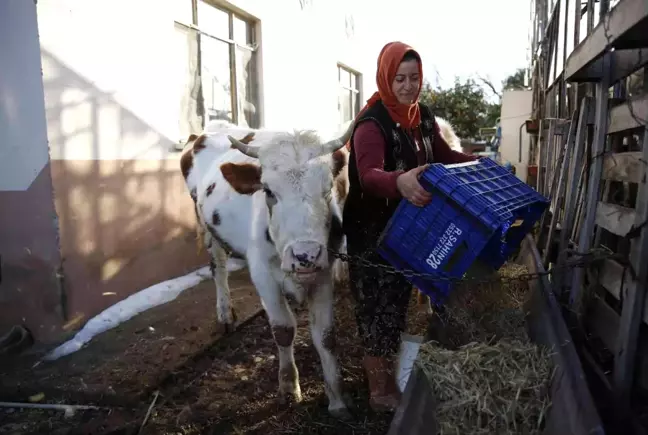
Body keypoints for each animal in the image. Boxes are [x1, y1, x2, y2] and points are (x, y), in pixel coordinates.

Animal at [180, 121, 354, 420]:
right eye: (269, 191)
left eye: (328, 188)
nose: (305, 255)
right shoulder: (263, 274)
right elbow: (283, 329)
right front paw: (289, 388)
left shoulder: (322, 273)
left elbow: (326, 335)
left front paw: (337, 399)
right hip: (207, 228)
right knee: (218, 267)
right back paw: (225, 313)